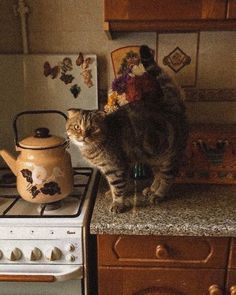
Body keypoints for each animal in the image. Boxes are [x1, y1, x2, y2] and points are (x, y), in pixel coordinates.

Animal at [66, 45, 188, 214]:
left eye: (92, 128)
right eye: (77, 127)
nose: (83, 136)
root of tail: (171, 108)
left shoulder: (115, 168)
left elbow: (118, 189)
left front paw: (117, 204)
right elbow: (114, 187)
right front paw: (110, 194)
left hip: (168, 158)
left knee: (167, 178)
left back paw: (158, 194)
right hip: (154, 156)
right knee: (158, 175)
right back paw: (151, 189)